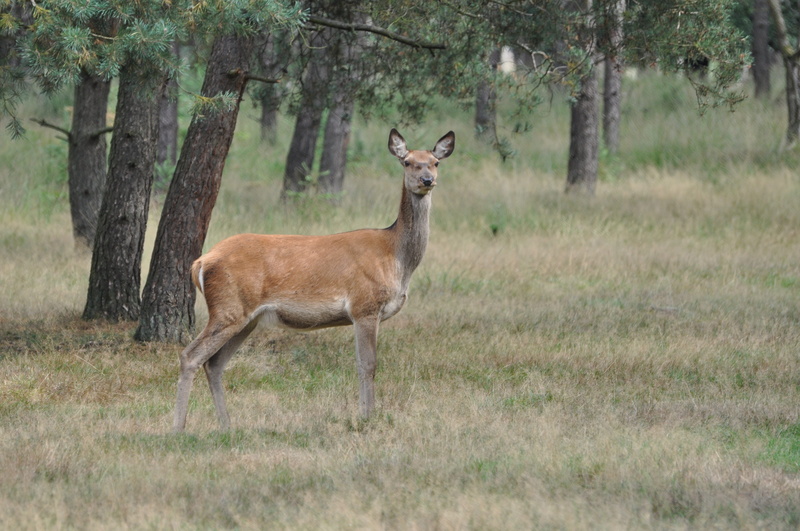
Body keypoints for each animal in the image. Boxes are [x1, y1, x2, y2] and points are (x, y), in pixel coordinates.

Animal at [173, 129, 455, 432]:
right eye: (407, 162)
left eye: (435, 162)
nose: (426, 180)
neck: (396, 256)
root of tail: (201, 262)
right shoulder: (364, 306)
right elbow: (367, 365)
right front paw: (367, 418)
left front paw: (365, 414)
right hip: (228, 308)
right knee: (190, 356)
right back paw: (179, 428)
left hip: (247, 318)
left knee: (214, 363)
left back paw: (227, 425)